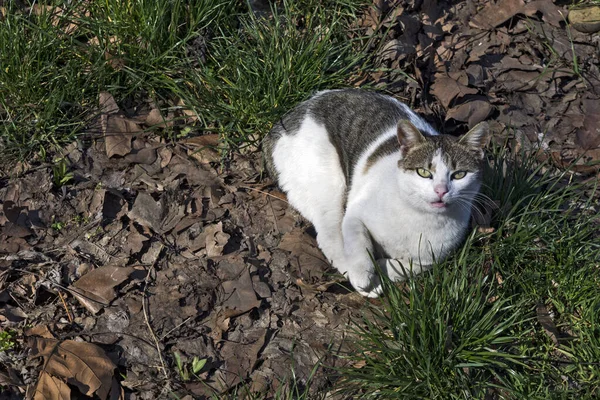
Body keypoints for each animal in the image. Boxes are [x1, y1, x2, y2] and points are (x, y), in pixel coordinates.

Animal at [264, 90, 490, 296]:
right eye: (424, 172)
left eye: (459, 174)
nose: (441, 190)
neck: (419, 218)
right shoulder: (355, 215)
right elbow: (359, 246)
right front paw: (364, 276)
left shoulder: (429, 260)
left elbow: (401, 267)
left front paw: (379, 270)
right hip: (329, 183)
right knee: (329, 237)